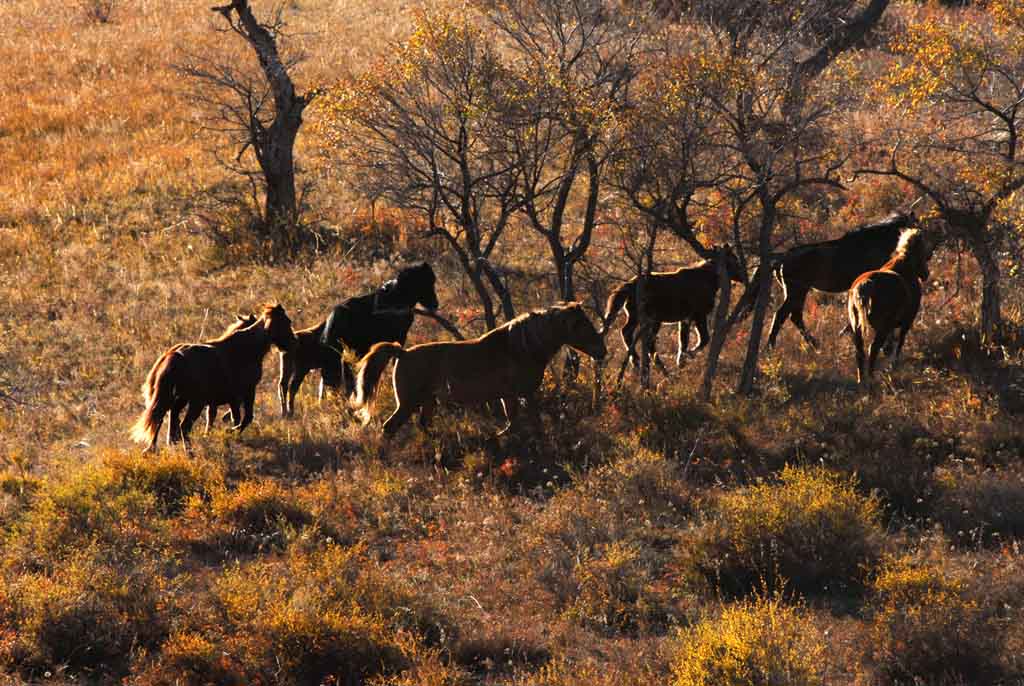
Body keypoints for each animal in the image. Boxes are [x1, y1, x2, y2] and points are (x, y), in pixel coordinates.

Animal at [130, 303, 294, 454]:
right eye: (287, 322)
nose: (292, 344)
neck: (246, 348)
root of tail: (174, 356)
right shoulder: (246, 392)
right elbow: (246, 418)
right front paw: (230, 433)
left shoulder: (229, 399)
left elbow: (230, 417)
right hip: (195, 402)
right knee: (183, 426)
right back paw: (189, 453)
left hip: (176, 399)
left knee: (161, 419)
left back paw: (153, 449)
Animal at [352, 303, 606, 440]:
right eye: (581, 326)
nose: (602, 351)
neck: (522, 347)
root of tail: (402, 353)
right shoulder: (523, 394)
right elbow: (528, 422)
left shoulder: (509, 396)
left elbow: (514, 423)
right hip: (408, 403)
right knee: (389, 427)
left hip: (427, 402)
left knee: (423, 426)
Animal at [598, 244, 745, 372]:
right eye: (734, 260)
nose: (743, 276)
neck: (709, 280)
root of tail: (628, 285)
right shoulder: (699, 314)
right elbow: (704, 339)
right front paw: (690, 354)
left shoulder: (685, 318)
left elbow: (683, 342)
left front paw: (681, 361)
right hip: (644, 317)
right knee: (631, 334)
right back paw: (639, 360)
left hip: (641, 317)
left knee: (637, 336)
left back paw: (643, 361)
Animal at [761, 210, 921, 352]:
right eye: (915, 225)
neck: (873, 243)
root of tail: (782, 260)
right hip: (797, 291)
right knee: (782, 315)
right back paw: (771, 347)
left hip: (797, 292)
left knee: (794, 316)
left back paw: (813, 344)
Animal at [847, 228, 937, 384]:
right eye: (923, 254)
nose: (926, 274)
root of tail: (864, 286)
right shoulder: (907, 321)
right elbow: (899, 342)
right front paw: (894, 364)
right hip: (882, 327)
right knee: (873, 348)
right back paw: (871, 377)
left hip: (857, 327)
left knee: (860, 352)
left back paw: (861, 380)